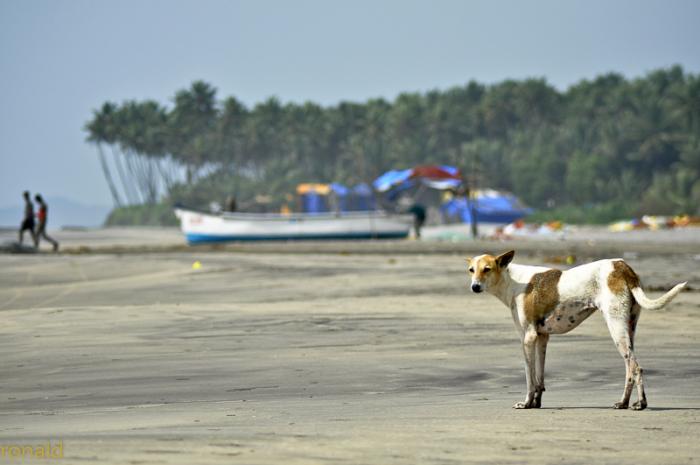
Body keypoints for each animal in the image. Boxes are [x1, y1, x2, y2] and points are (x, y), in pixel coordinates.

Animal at [467, 250, 686, 410]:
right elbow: (539, 378)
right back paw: (623, 402)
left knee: (636, 368)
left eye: (487, 269)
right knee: (629, 369)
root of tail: (622, 266)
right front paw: (536, 403)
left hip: (616, 328)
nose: (474, 287)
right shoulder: (542, 338)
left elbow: (530, 377)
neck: (513, 281)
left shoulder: (527, 338)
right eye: (471, 270)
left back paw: (640, 404)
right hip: (629, 330)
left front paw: (527, 403)